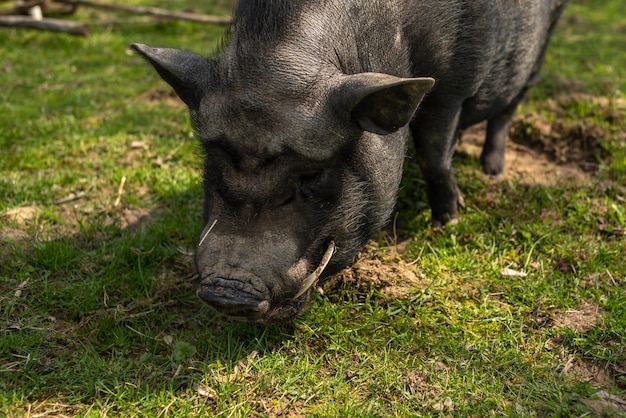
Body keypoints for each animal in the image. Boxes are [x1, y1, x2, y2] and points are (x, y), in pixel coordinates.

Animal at [132, 0, 564, 324]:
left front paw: (447, 223)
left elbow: (434, 157)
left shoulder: (451, 92)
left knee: (508, 109)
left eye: (313, 173)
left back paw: (493, 170)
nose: (227, 291)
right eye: (211, 159)